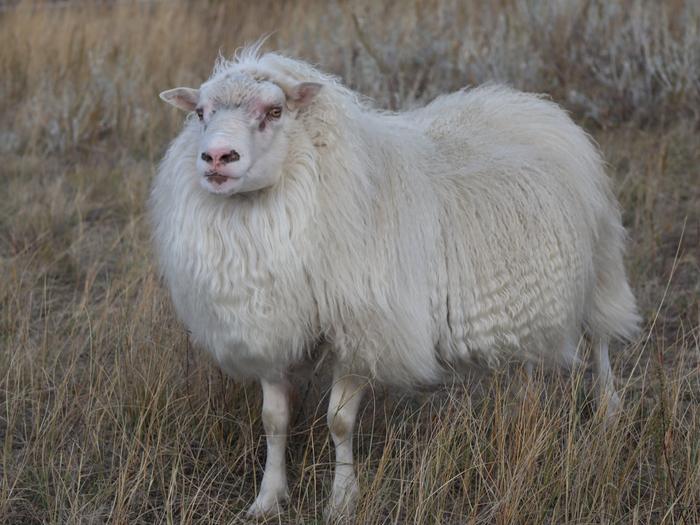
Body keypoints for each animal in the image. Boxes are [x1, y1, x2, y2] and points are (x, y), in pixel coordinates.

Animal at [152, 44, 640, 516]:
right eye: (201, 112)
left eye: (274, 111)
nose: (217, 157)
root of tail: (532, 102)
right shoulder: (269, 328)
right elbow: (273, 420)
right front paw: (268, 499)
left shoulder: (363, 330)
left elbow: (339, 421)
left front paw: (342, 500)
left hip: (599, 263)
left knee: (599, 339)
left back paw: (609, 410)